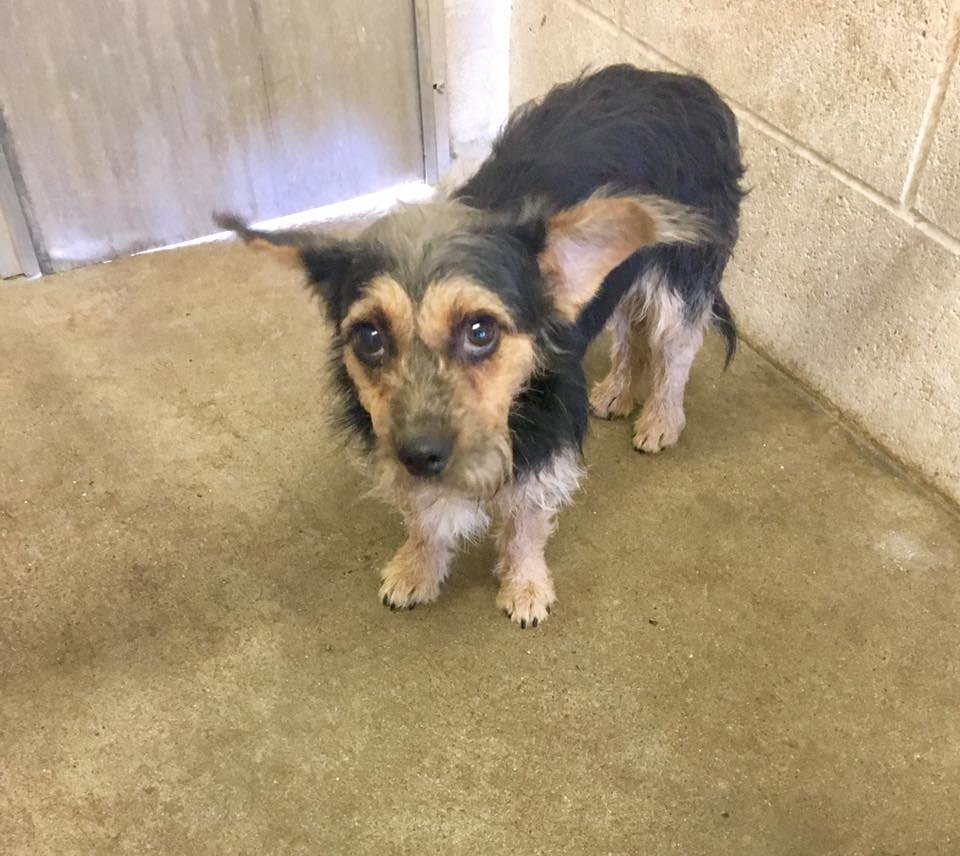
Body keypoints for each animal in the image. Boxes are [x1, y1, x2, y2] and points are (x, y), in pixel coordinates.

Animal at [216, 64, 745, 627]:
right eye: (370, 336)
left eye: (480, 331)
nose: (421, 454)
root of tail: (677, 79)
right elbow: (422, 516)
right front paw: (418, 567)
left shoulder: (547, 437)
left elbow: (526, 522)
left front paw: (526, 584)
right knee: (626, 325)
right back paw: (619, 391)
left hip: (680, 279)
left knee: (676, 349)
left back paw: (661, 419)